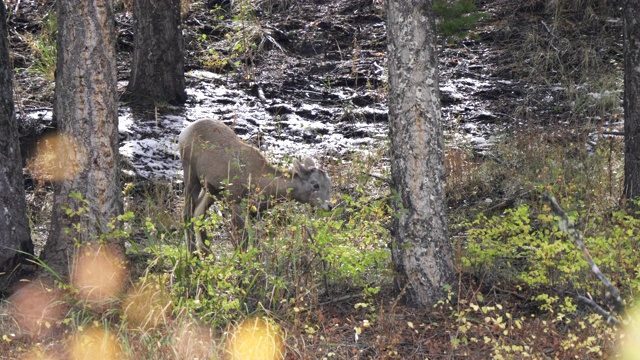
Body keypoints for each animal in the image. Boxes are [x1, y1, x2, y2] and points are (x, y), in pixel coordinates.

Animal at [178, 119, 332, 253]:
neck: (261, 182)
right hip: (191, 176)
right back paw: (193, 256)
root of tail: (185, 131)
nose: (329, 206)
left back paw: (207, 253)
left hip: (209, 191)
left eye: (328, 184)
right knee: (187, 214)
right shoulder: (236, 205)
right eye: (315, 185)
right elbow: (243, 242)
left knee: (199, 214)